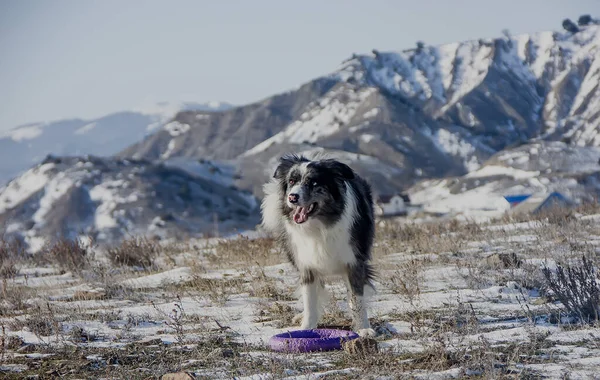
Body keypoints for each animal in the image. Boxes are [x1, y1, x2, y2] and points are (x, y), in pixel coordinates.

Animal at [262, 153, 376, 336]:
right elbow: (309, 299)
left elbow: (357, 298)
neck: (320, 226)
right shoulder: (306, 265)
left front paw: (363, 328)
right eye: (291, 181)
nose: (292, 197)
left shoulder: (354, 262)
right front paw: (306, 328)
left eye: (314, 183)